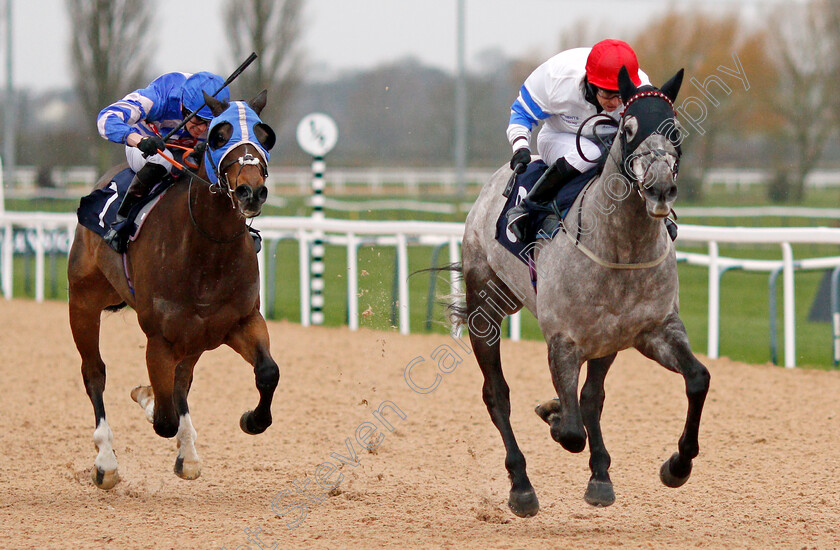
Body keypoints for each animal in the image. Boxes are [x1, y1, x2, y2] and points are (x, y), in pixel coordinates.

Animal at [69, 91, 278, 492]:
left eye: (264, 134)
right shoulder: (160, 337)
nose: (251, 191)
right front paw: (148, 398)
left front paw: (251, 420)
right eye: (219, 134)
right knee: (94, 373)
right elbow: (163, 416)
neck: (207, 247)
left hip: (195, 336)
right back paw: (106, 462)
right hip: (83, 300)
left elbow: (267, 372)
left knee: (182, 381)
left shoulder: (240, 321)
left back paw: (188, 454)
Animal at [460, 67, 708, 520]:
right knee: (497, 394)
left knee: (592, 398)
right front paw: (556, 416)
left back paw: (600, 475)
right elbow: (573, 431)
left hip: (605, 339)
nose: (661, 189)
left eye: (675, 130)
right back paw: (522, 485)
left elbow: (697, 379)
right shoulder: (563, 341)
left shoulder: (654, 330)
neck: (622, 249)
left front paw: (677, 465)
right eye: (628, 130)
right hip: (484, 304)